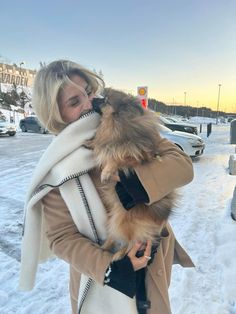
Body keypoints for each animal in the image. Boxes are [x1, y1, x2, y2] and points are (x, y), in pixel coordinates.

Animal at [87, 88, 176, 260]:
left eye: (105, 100)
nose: (92, 99)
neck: (117, 125)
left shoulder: (135, 159)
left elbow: (118, 157)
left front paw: (106, 171)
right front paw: (89, 142)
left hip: (122, 219)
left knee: (131, 243)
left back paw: (120, 255)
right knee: (114, 237)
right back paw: (103, 247)